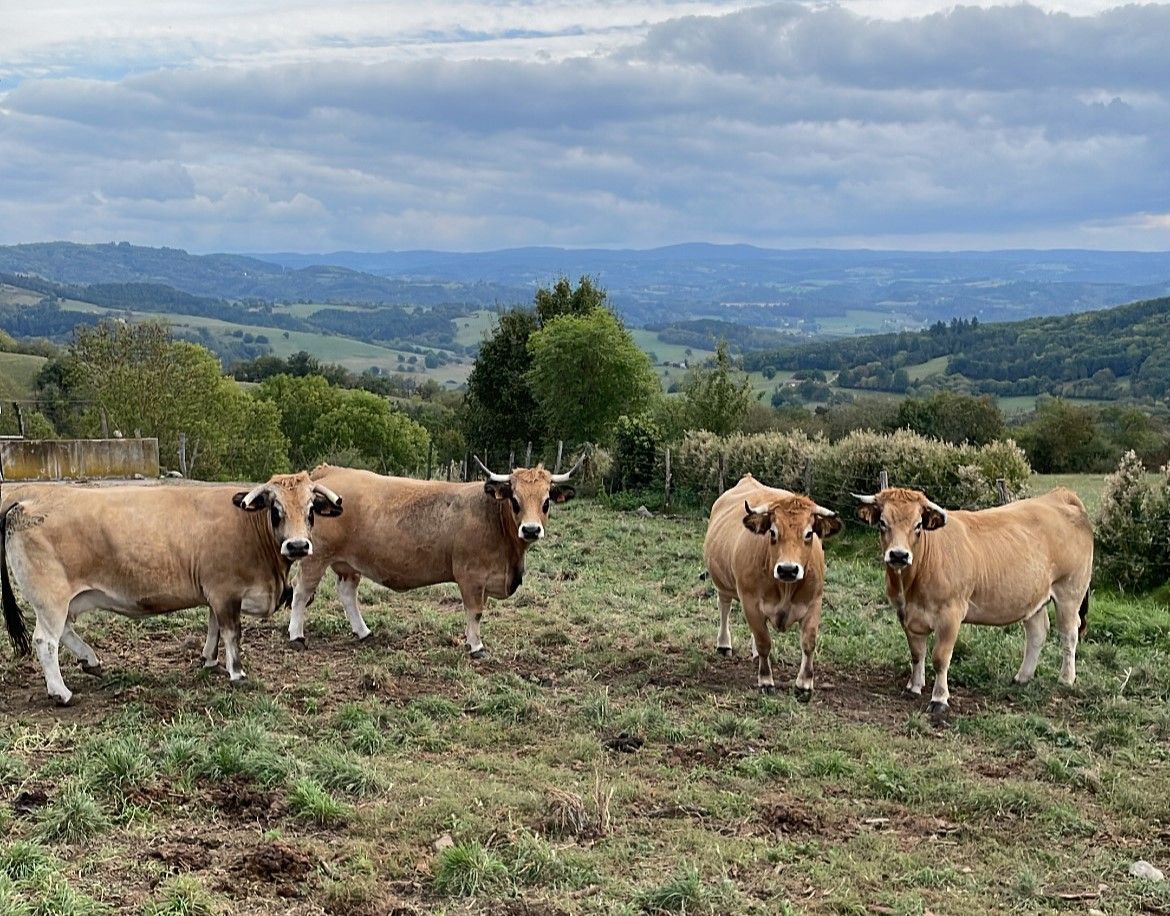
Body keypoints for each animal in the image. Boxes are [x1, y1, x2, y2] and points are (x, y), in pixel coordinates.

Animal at [0, 473, 343, 705]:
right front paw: (237, 673)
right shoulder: (226, 592)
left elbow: (213, 627)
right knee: (46, 641)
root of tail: (27, 498)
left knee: (65, 633)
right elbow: (232, 633)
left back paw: (90, 660)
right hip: (51, 599)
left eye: (311, 510)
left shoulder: (215, 593)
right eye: (276, 509)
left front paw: (209, 661)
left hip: (64, 601)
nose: (297, 546)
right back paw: (61, 692)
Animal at [285, 455, 581, 656]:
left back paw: (364, 632)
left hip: (347, 563)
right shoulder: (471, 577)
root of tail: (329, 472)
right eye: (515, 500)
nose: (531, 529)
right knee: (301, 593)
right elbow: (475, 612)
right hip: (315, 558)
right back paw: (296, 636)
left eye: (546, 501)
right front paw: (476, 646)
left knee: (347, 594)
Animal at [702, 474, 842, 697]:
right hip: (722, 583)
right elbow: (763, 642)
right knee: (724, 606)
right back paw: (724, 644)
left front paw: (804, 684)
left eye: (809, 533)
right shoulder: (750, 602)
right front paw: (766, 680)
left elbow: (808, 643)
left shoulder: (814, 603)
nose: (788, 569)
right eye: (773, 533)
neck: (785, 587)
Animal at [853, 487, 1093, 718]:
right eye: (882, 523)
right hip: (1034, 597)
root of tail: (1058, 495)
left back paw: (1066, 678)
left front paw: (939, 699)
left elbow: (940, 658)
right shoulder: (907, 615)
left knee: (1069, 634)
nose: (899, 555)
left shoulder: (950, 615)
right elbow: (917, 653)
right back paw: (1022, 677)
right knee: (1038, 633)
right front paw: (914, 686)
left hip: (1070, 592)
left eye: (918, 525)